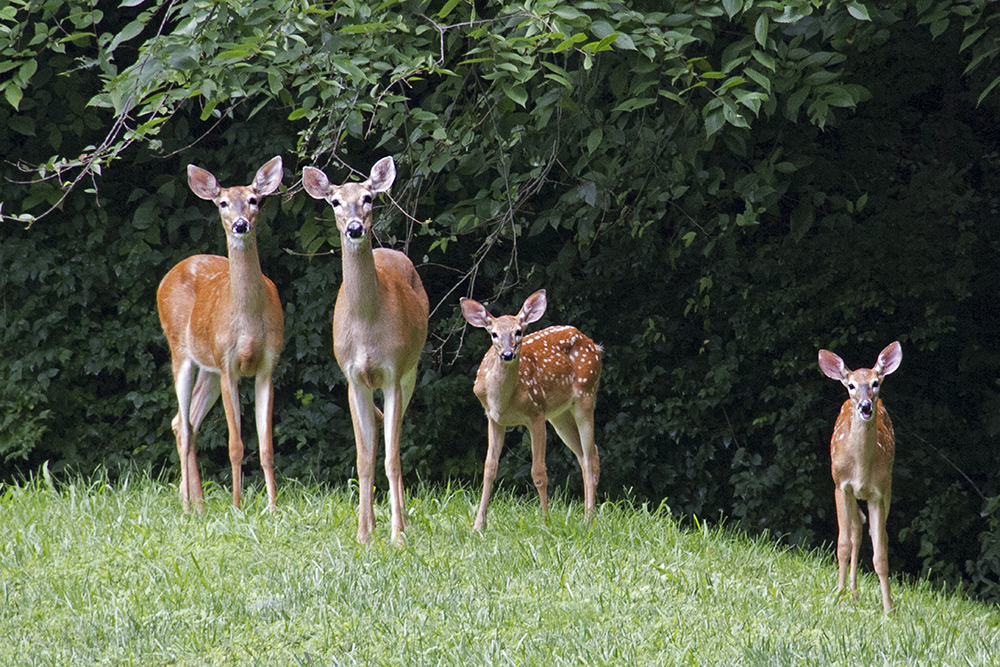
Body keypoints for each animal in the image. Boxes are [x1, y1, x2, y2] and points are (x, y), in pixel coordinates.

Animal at [156, 157, 288, 516]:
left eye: (255, 200)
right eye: (223, 203)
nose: (241, 225)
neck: (249, 322)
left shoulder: (268, 366)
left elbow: (266, 446)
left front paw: (273, 508)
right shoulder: (229, 365)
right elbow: (235, 444)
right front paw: (237, 506)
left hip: (209, 369)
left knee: (185, 420)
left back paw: (198, 503)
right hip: (180, 352)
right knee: (183, 424)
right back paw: (188, 506)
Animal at [304, 158, 430, 548]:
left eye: (369, 197)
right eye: (334, 201)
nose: (355, 228)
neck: (367, 325)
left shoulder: (393, 373)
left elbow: (391, 457)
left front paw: (397, 535)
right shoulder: (353, 379)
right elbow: (362, 458)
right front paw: (363, 534)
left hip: (412, 370)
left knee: (395, 438)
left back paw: (402, 519)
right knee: (375, 436)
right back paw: (374, 522)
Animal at [458, 290, 600, 532]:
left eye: (518, 331)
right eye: (494, 334)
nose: (507, 354)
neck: (504, 401)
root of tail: (594, 345)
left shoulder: (536, 413)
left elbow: (539, 471)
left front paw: (546, 522)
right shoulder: (493, 418)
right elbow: (489, 469)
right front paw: (478, 525)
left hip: (586, 395)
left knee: (590, 455)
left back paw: (588, 520)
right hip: (560, 415)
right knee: (585, 455)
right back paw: (587, 517)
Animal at [820, 342, 908, 612]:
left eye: (875, 382)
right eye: (851, 385)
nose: (866, 406)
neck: (860, 469)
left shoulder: (879, 492)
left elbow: (880, 554)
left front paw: (889, 608)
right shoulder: (840, 485)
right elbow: (843, 544)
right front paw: (838, 594)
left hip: (888, 489)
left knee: (868, 530)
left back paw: (855, 593)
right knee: (855, 529)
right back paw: (851, 593)